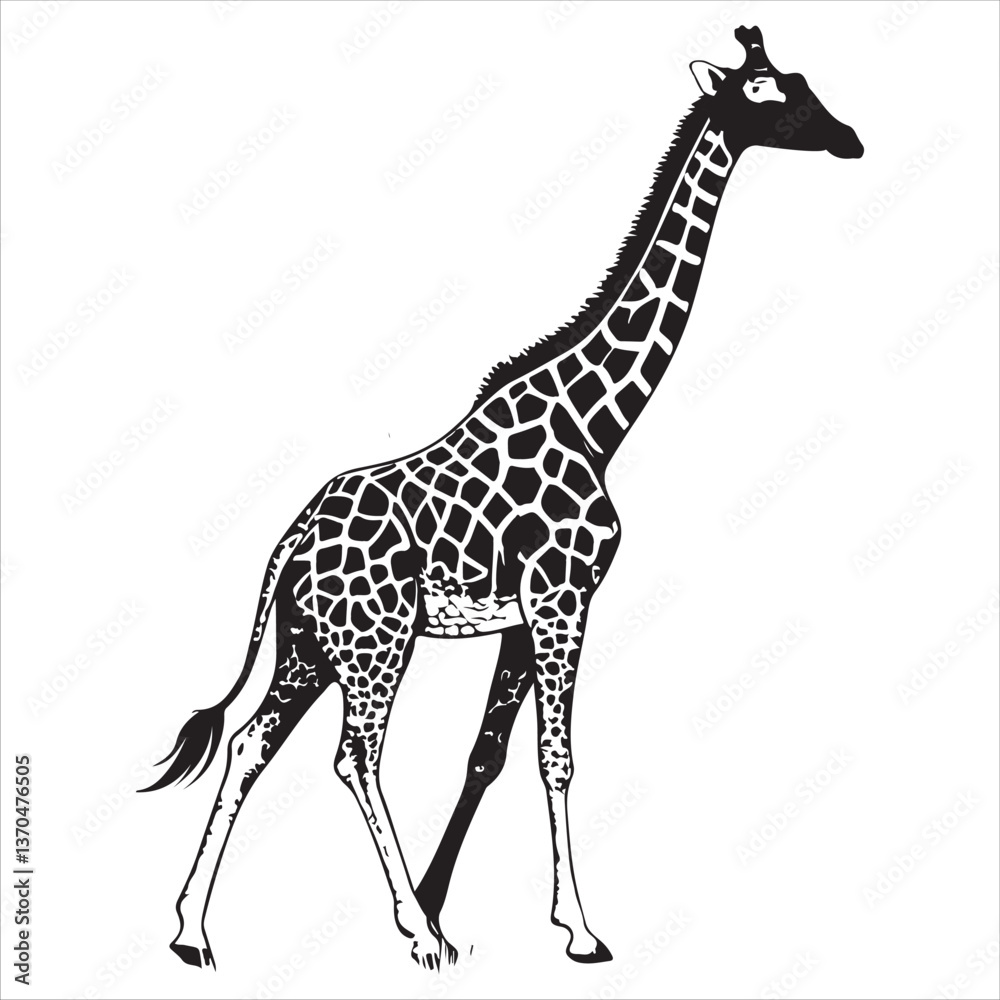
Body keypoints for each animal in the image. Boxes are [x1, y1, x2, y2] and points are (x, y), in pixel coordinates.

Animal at [143, 26, 862, 971]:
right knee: (353, 756)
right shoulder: (563, 600)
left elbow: (487, 755)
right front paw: (576, 930)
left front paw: (456, 902)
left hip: (307, 644)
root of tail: (291, 539)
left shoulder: (526, 615)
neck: (598, 420)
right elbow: (557, 758)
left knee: (250, 741)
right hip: (374, 644)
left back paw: (192, 930)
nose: (851, 140)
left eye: (802, 81)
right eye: (768, 93)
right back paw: (412, 936)